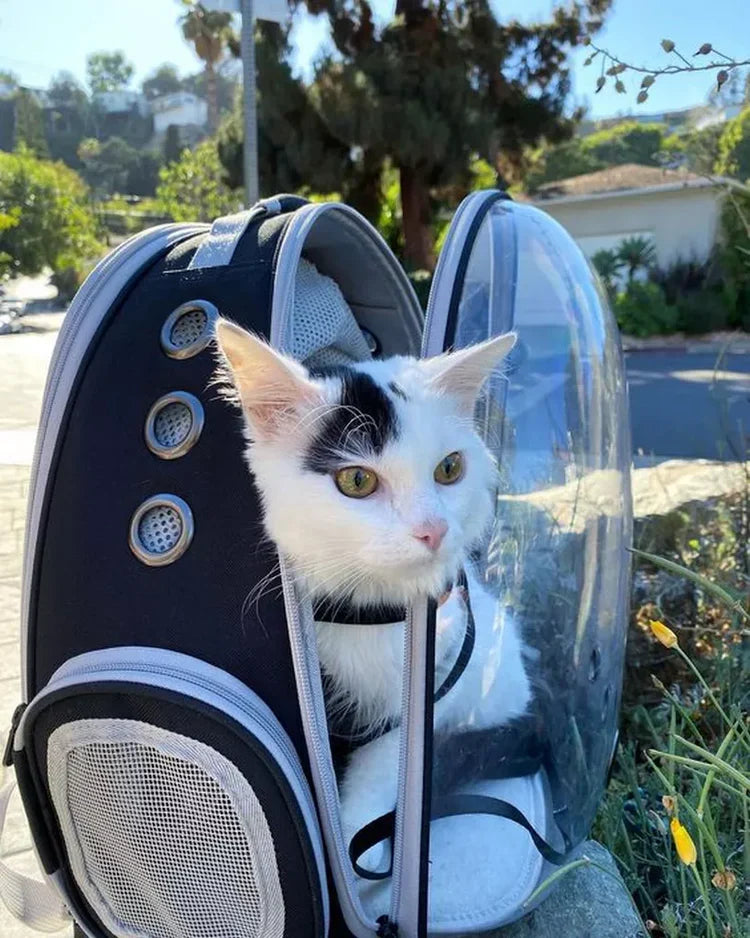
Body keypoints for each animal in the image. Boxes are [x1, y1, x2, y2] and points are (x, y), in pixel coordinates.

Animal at [214, 320, 536, 872]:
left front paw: (355, 854)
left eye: (450, 469)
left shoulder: (441, 680)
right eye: (358, 479)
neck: (369, 610)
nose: (433, 529)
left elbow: (386, 764)